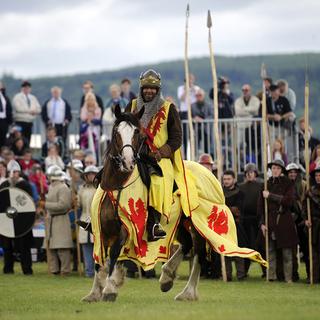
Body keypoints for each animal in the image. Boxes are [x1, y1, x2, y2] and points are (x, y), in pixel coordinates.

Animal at [81, 105, 208, 302]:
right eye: (116, 132)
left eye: (137, 133)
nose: (127, 162)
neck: (116, 184)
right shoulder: (99, 229)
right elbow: (98, 261)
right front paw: (94, 293)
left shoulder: (126, 228)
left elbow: (114, 254)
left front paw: (109, 289)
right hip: (178, 224)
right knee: (187, 244)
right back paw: (167, 277)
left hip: (195, 224)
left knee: (198, 252)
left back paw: (187, 293)